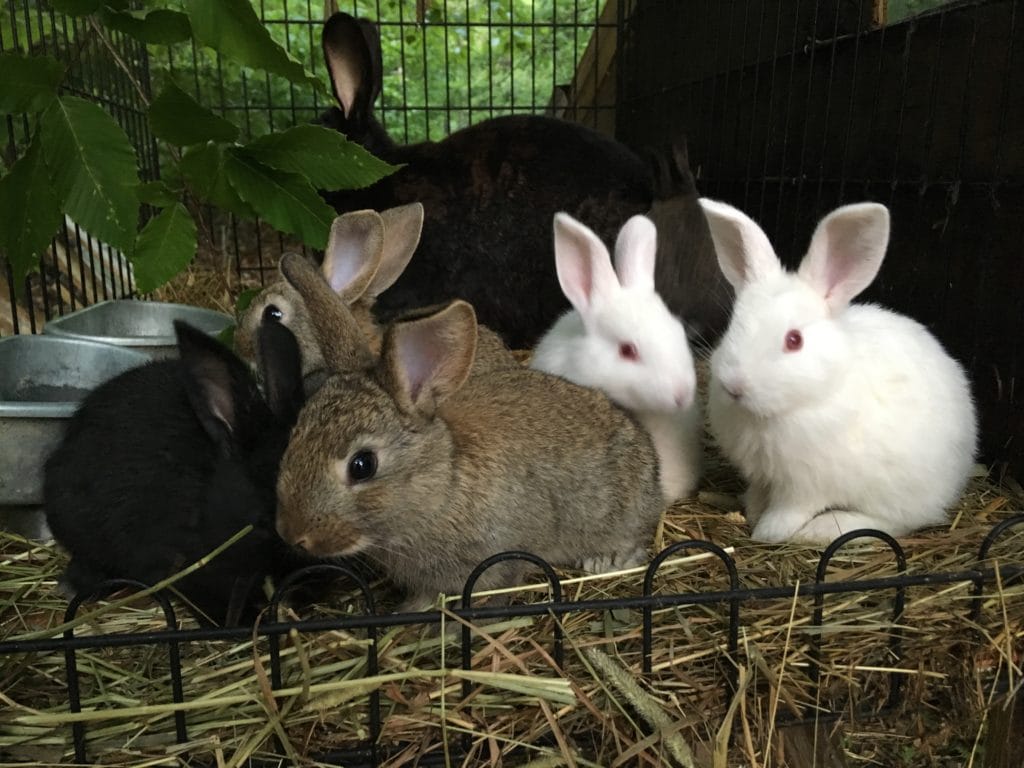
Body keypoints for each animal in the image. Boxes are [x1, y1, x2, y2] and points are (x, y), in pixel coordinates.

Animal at [700, 201, 978, 544]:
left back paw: (825, 528)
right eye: (732, 328)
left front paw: (767, 532)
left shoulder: (806, 487)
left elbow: (788, 512)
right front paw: (752, 509)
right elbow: (758, 493)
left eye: (794, 340)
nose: (734, 386)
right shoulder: (763, 475)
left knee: (895, 523)